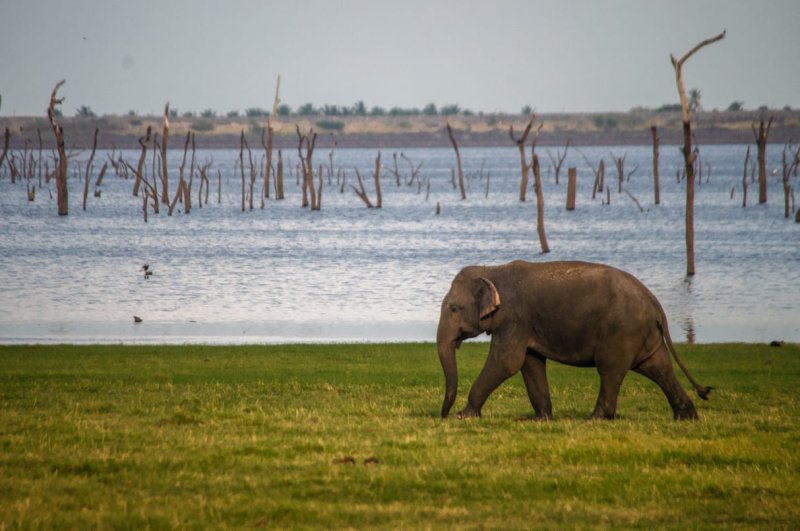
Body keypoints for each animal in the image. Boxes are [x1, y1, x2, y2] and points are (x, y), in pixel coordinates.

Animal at [438, 260, 712, 422]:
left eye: (453, 308)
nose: (443, 416)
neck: (494, 270)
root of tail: (655, 303)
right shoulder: (526, 326)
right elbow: (530, 363)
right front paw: (541, 420)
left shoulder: (514, 318)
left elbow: (507, 362)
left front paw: (465, 416)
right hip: (643, 336)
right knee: (659, 368)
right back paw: (687, 417)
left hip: (621, 332)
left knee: (610, 370)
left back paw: (595, 419)